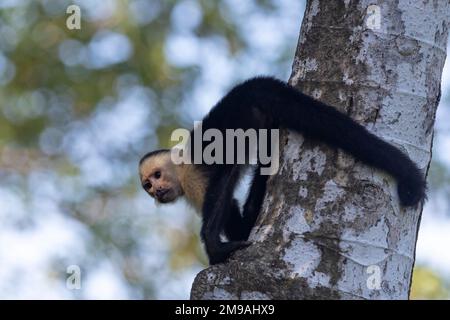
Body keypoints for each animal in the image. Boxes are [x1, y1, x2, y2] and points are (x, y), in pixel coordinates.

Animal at [139, 77, 428, 264]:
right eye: (148, 186)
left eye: (157, 176)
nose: (157, 191)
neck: (180, 172)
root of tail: (257, 85)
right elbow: (238, 224)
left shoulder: (194, 177)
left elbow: (223, 185)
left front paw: (214, 248)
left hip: (252, 112)